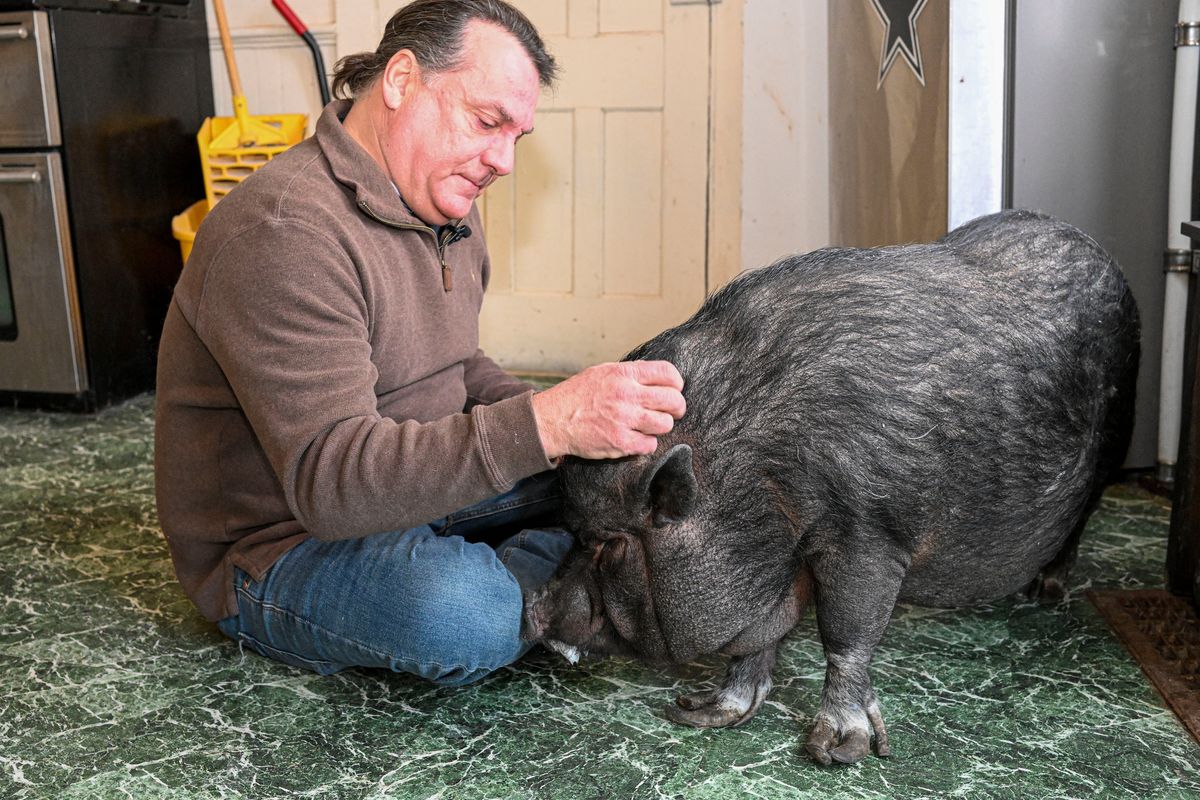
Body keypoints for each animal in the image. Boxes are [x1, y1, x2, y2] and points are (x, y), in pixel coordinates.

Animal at [522, 210, 1140, 765]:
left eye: (609, 543)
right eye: (572, 531)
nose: (533, 605)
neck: (755, 477)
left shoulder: (870, 534)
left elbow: (846, 631)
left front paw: (838, 752)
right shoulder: (783, 558)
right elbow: (762, 634)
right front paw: (699, 713)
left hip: (1115, 443)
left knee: (1082, 516)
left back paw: (1048, 591)